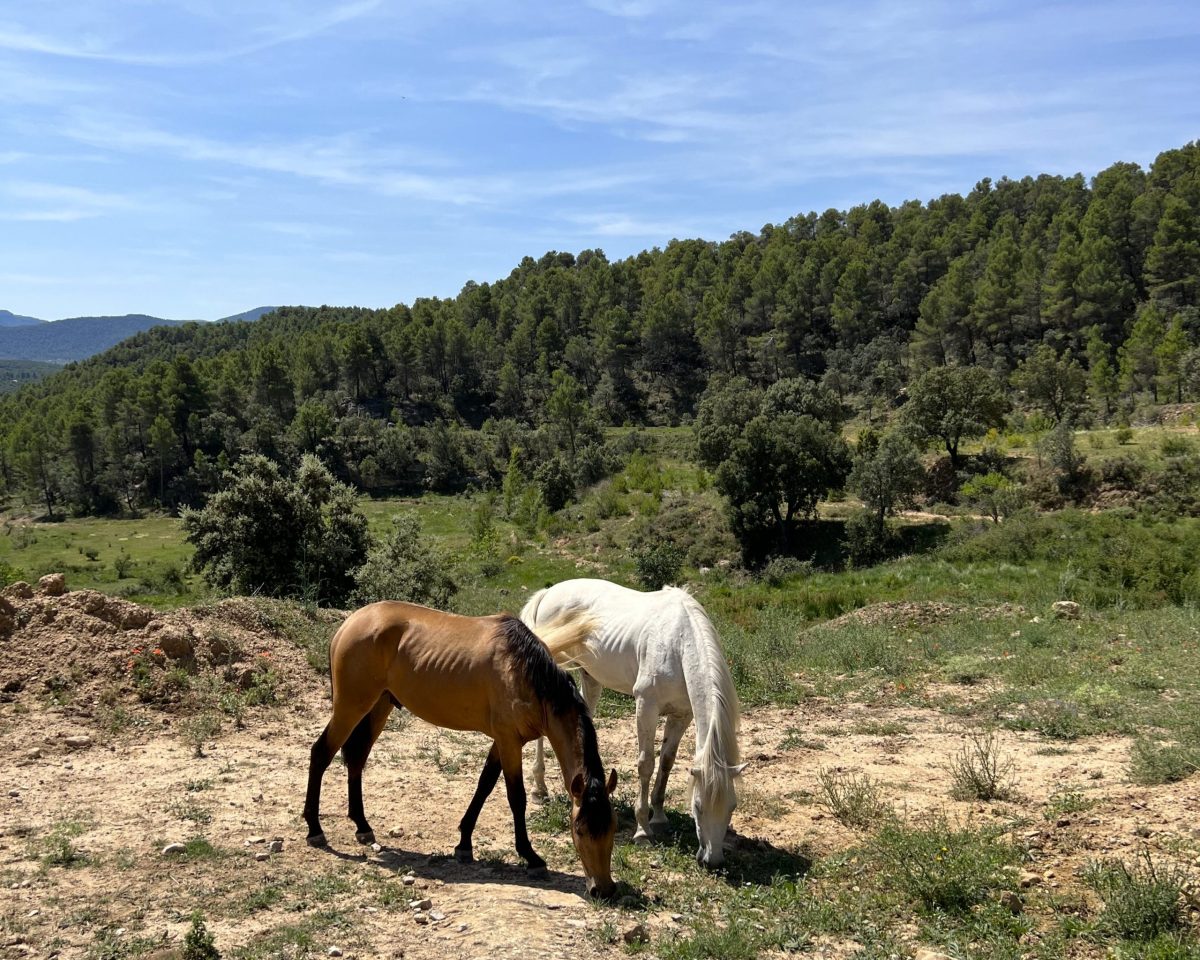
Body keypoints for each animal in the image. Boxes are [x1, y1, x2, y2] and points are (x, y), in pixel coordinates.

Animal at [302, 604, 619, 897]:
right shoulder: (508, 740)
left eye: (612, 827)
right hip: (351, 706)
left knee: (356, 759)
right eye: (579, 829)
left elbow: (484, 785)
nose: (603, 890)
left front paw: (464, 843)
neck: (523, 671)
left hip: (378, 706)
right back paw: (315, 830)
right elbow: (516, 798)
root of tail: (351, 623)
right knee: (321, 754)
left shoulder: (503, 741)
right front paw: (531, 857)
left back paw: (362, 826)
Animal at [523, 578, 744, 868]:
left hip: (590, 676)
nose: (712, 860)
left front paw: (658, 817)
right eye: (697, 806)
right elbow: (646, 764)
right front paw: (642, 830)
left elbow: (666, 761)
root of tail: (548, 592)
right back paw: (539, 789)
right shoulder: (645, 707)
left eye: (732, 806)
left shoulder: (681, 715)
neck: (678, 643)